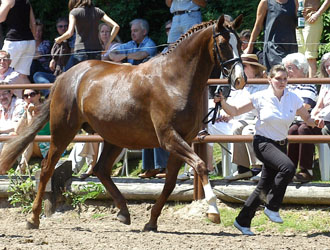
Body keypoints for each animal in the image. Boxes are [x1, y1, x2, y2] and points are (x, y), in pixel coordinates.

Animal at [0, 15, 245, 230]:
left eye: (240, 44)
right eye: (223, 44)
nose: (240, 80)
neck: (174, 80)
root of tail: (65, 76)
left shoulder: (183, 141)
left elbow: (170, 183)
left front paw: (151, 222)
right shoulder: (169, 139)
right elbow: (201, 166)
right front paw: (213, 211)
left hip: (114, 137)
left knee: (100, 170)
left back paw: (123, 212)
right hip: (64, 131)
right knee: (47, 169)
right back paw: (33, 219)